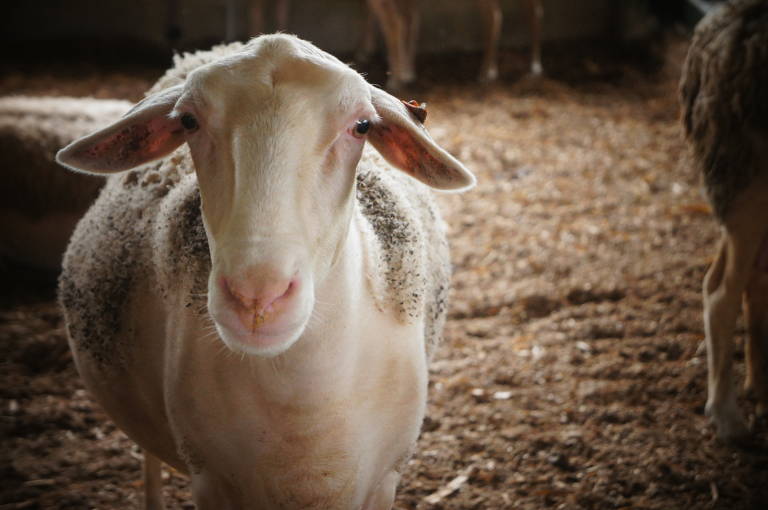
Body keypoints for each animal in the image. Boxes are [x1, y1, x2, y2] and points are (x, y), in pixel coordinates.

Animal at [55, 33, 474, 508]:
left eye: (362, 126)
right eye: (188, 121)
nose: (257, 296)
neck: (303, 409)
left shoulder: (383, 480)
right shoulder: (211, 480)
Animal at [368, 0, 544, 89]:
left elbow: (395, 26)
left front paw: (396, 79)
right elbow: (409, 21)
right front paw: (407, 73)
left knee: (495, 16)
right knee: (533, 11)